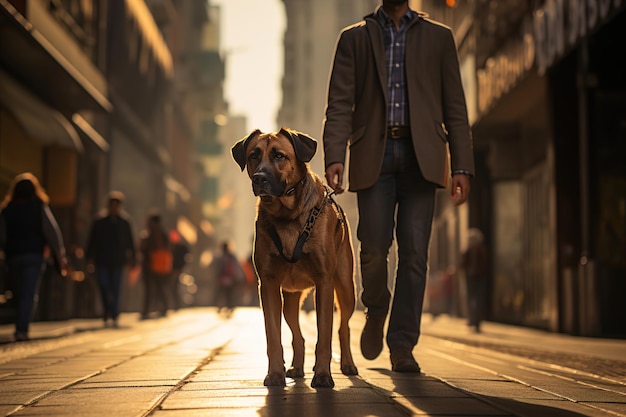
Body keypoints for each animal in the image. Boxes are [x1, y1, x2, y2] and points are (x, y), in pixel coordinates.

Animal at [230, 127, 358, 386]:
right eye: (253, 155)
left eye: (279, 155)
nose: (259, 178)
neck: (286, 215)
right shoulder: (268, 284)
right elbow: (273, 337)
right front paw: (275, 374)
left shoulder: (324, 282)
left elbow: (325, 335)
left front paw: (322, 375)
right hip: (289, 299)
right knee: (298, 335)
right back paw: (297, 367)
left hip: (346, 287)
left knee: (343, 327)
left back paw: (348, 364)